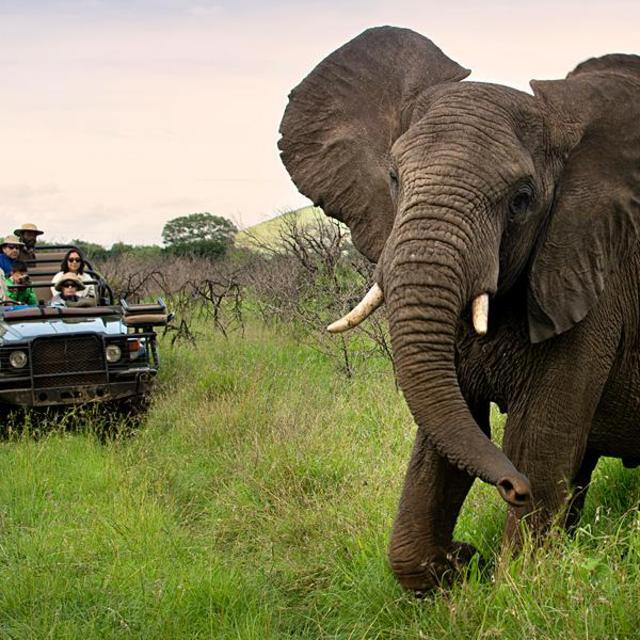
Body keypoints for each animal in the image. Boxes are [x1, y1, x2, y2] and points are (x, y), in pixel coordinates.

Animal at [278, 26, 640, 592]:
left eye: (522, 199)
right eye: (394, 179)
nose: (513, 488)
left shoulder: (591, 282)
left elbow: (538, 438)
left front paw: (514, 580)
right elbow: (444, 435)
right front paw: (455, 569)